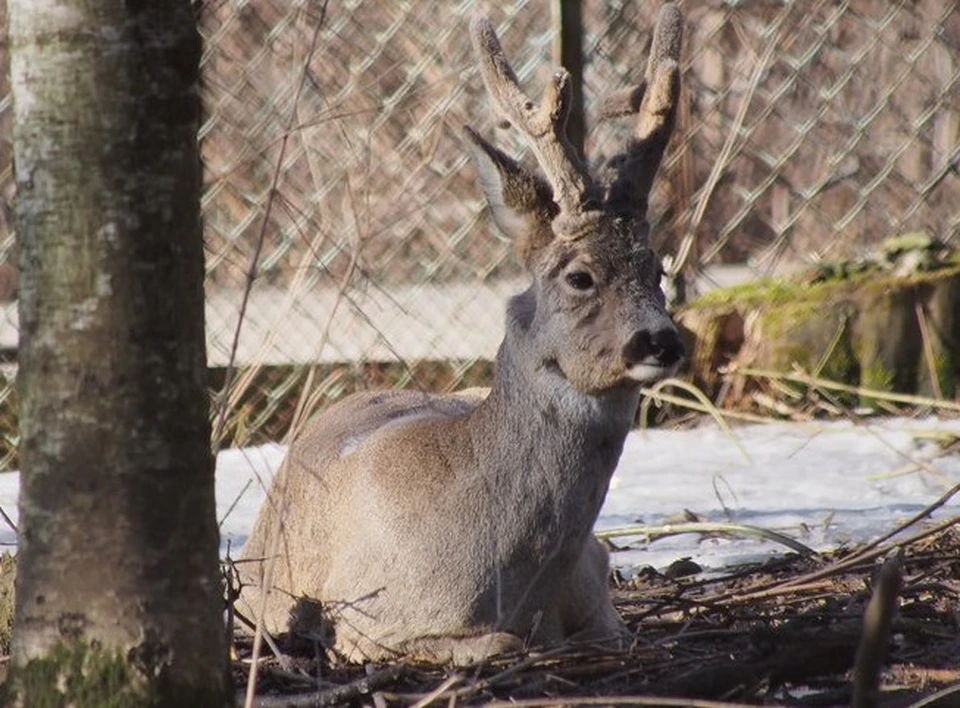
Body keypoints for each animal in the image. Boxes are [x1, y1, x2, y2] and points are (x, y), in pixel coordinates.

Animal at [237, 4, 685, 665]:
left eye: (656, 270)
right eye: (579, 276)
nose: (661, 341)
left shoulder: (602, 598)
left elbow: (605, 631)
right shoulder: (369, 621)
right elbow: (498, 643)